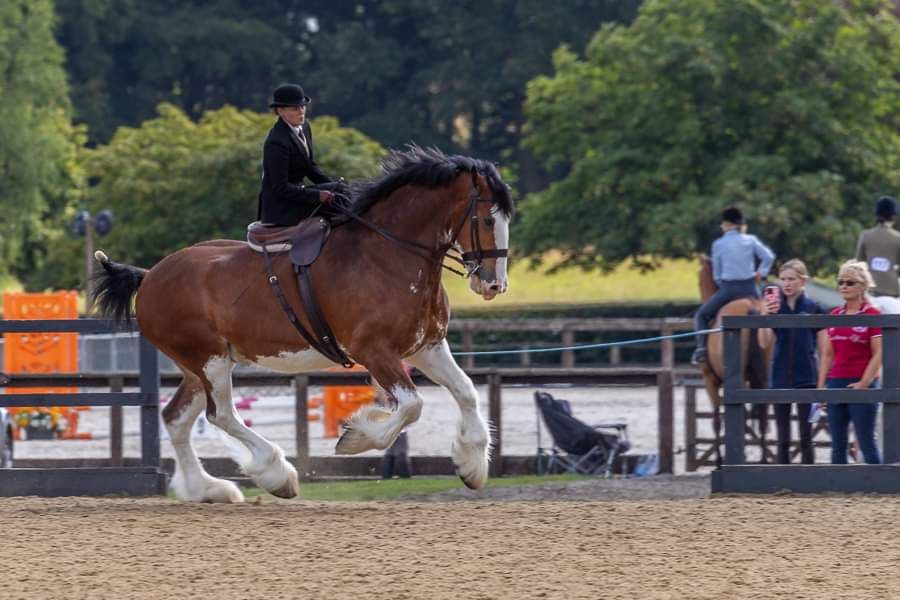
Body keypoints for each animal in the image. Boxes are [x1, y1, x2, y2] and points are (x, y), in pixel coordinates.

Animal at [93, 148, 512, 504]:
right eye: (488, 218)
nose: (494, 285)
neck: (389, 256)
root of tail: (149, 276)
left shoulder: (427, 347)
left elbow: (466, 392)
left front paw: (471, 465)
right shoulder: (374, 352)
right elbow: (412, 405)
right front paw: (355, 438)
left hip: (202, 366)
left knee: (177, 419)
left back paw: (207, 489)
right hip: (209, 361)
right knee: (222, 415)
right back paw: (276, 474)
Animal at [696, 255, 772, 466]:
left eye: (698, 280)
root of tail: (751, 308)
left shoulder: (710, 381)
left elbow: (716, 420)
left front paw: (719, 459)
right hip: (762, 379)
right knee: (762, 417)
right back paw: (763, 460)